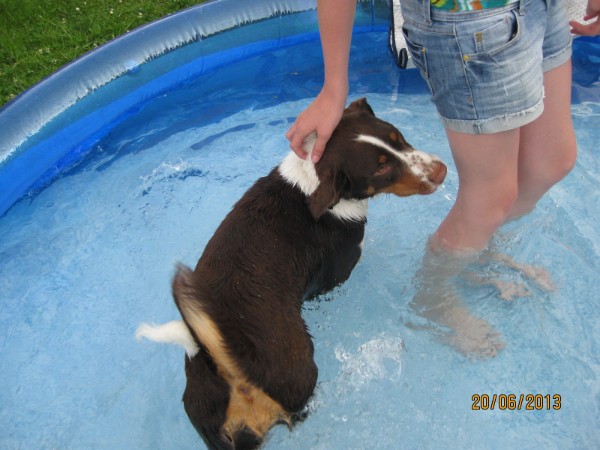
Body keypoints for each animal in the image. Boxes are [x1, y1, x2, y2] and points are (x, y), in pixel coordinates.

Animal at [137, 99, 446, 450]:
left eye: (397, 137)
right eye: (380, 169)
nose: (441, 171)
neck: (312, 184)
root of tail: (222, 363)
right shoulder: (337, 274)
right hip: (301, 370)